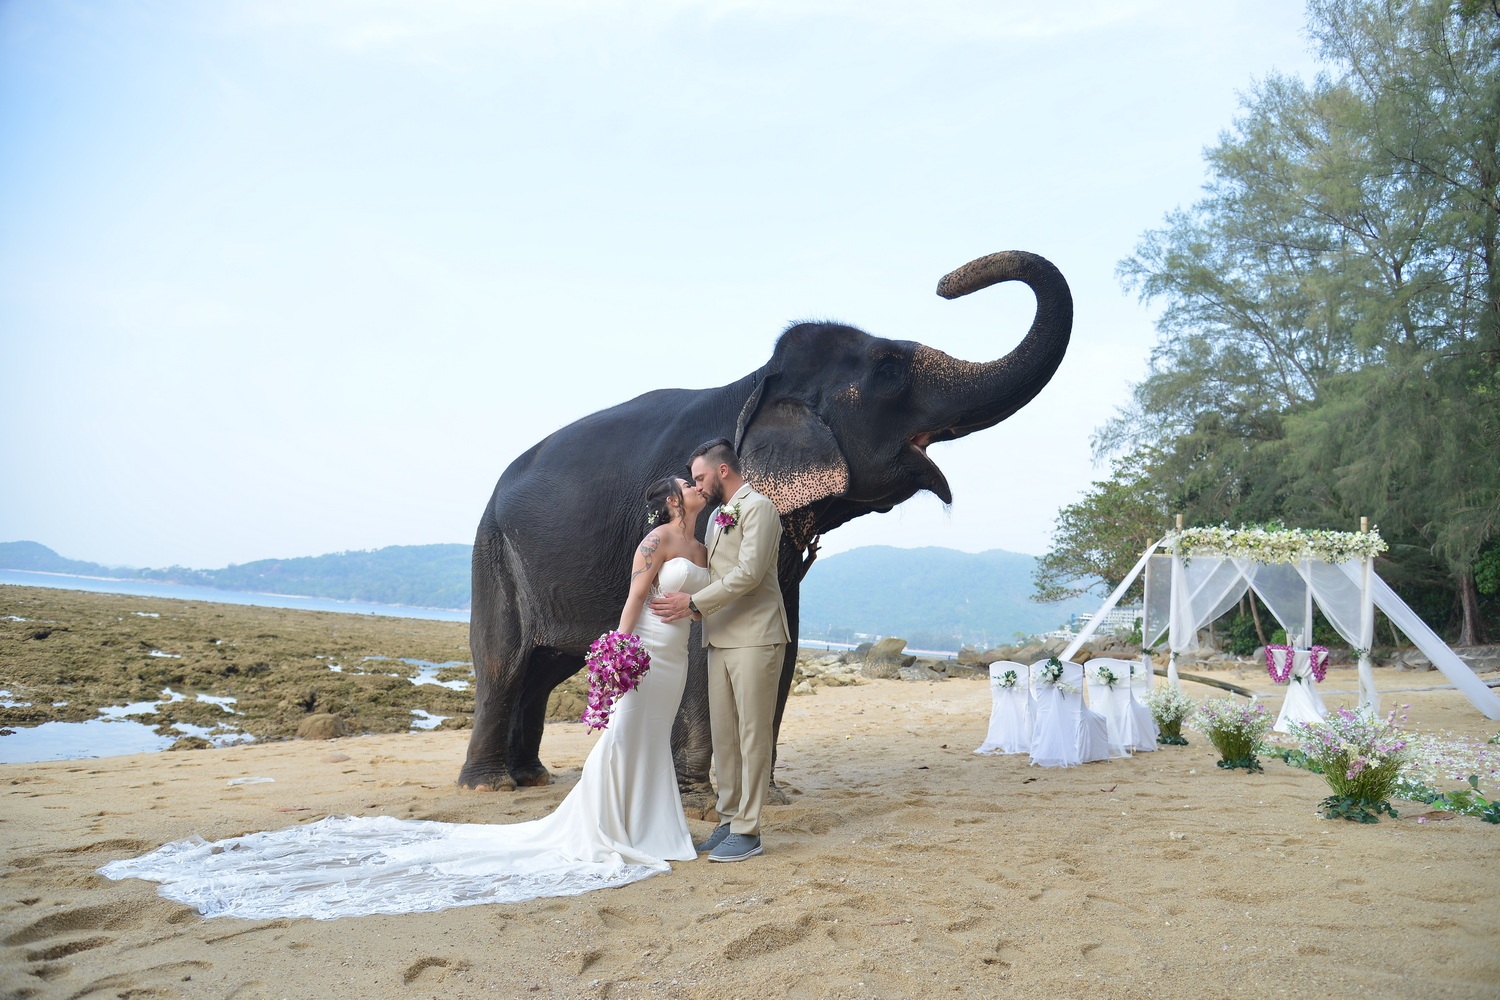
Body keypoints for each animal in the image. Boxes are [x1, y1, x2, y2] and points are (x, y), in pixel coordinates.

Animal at [457, 250, 1073, 793]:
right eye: (890, 369)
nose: (947, 284)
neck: (756, 381)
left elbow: (786, 638)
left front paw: (769, 796)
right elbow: (704, 636)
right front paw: (698, 801)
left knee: (544, 669)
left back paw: (531, 777)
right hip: (493, 554)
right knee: (502, 664)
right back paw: (489, 785)